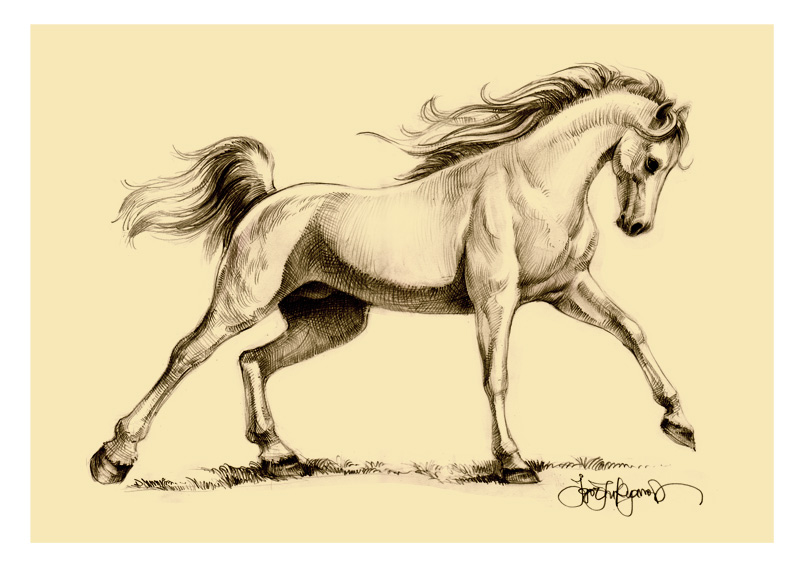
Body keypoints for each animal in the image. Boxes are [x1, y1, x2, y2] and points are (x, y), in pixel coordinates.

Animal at [90, 63, 694, 485]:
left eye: (671, 167)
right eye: (653, 161)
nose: (635, 225)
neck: (532, 188)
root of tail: (265, 201)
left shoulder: (566, 290)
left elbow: (632, 330)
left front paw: (680, 424)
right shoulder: (496, 300)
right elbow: (496, 376)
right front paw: (514, 464)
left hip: (331, 321)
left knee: (253, 360)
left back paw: (281, 456)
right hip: (243, 300)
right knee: (188, 354)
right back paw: (114, 459)